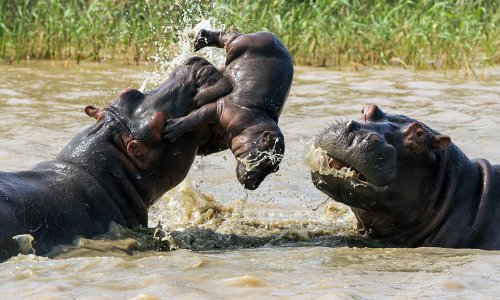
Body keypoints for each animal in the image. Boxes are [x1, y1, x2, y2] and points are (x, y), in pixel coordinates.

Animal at [164, 29, 292, 190]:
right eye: (266, 159)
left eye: (275, 168)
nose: (254, 185)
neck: (254, 124)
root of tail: (268, 33)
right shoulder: (219, 108)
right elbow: (194, 118)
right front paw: (170, 129)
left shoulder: (222, 137)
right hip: (237, 43)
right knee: (227, 36)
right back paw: (200, 39)